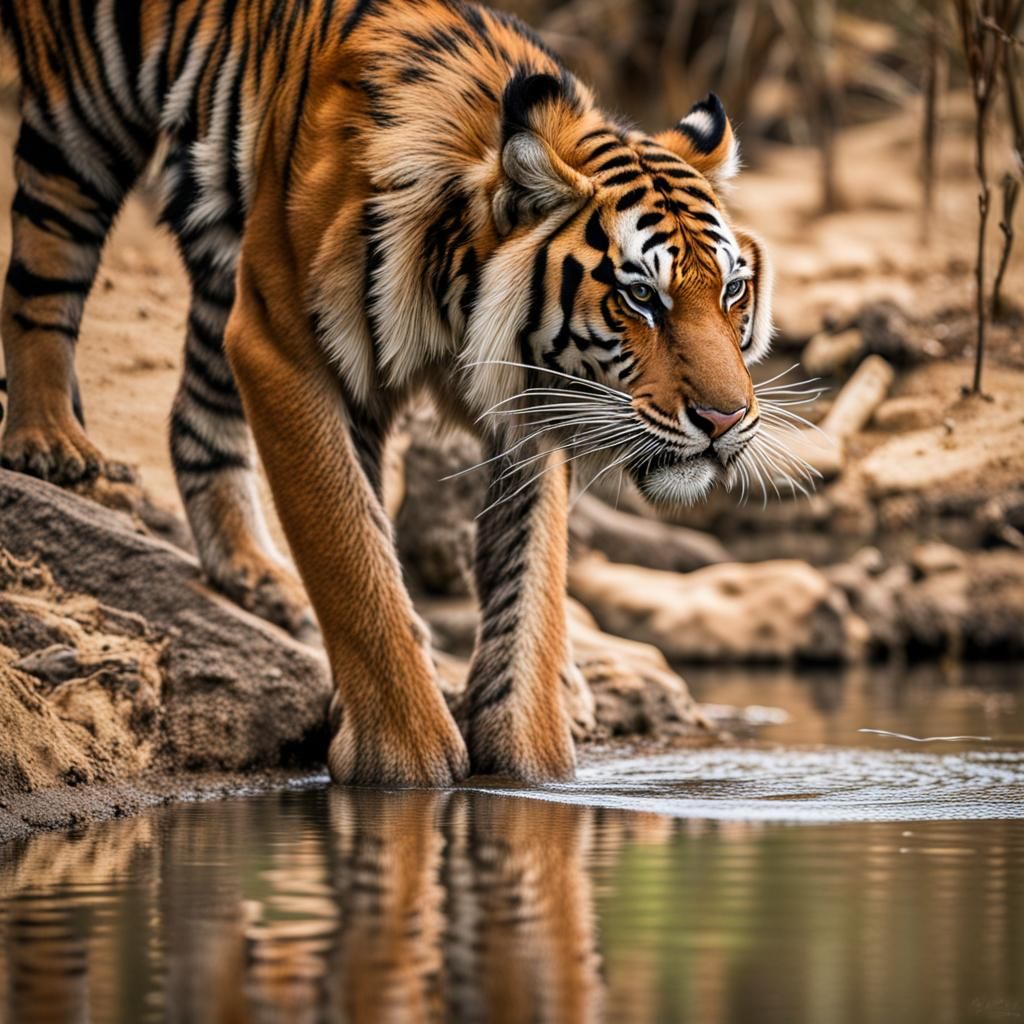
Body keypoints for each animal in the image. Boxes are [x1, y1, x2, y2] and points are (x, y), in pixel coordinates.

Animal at [0, 0, 774, 787]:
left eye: (732, 291)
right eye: (641, 296)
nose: (725, 418)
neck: (457, 300)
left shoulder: (527, 417)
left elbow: (530, 594)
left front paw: (531, 769)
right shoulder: (282, 348)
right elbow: (353, 555)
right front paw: (404, 762)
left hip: (224, 266)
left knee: (196, 412)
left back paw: (256, 574)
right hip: (84, 123)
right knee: (42, 275)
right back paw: (51, 443)